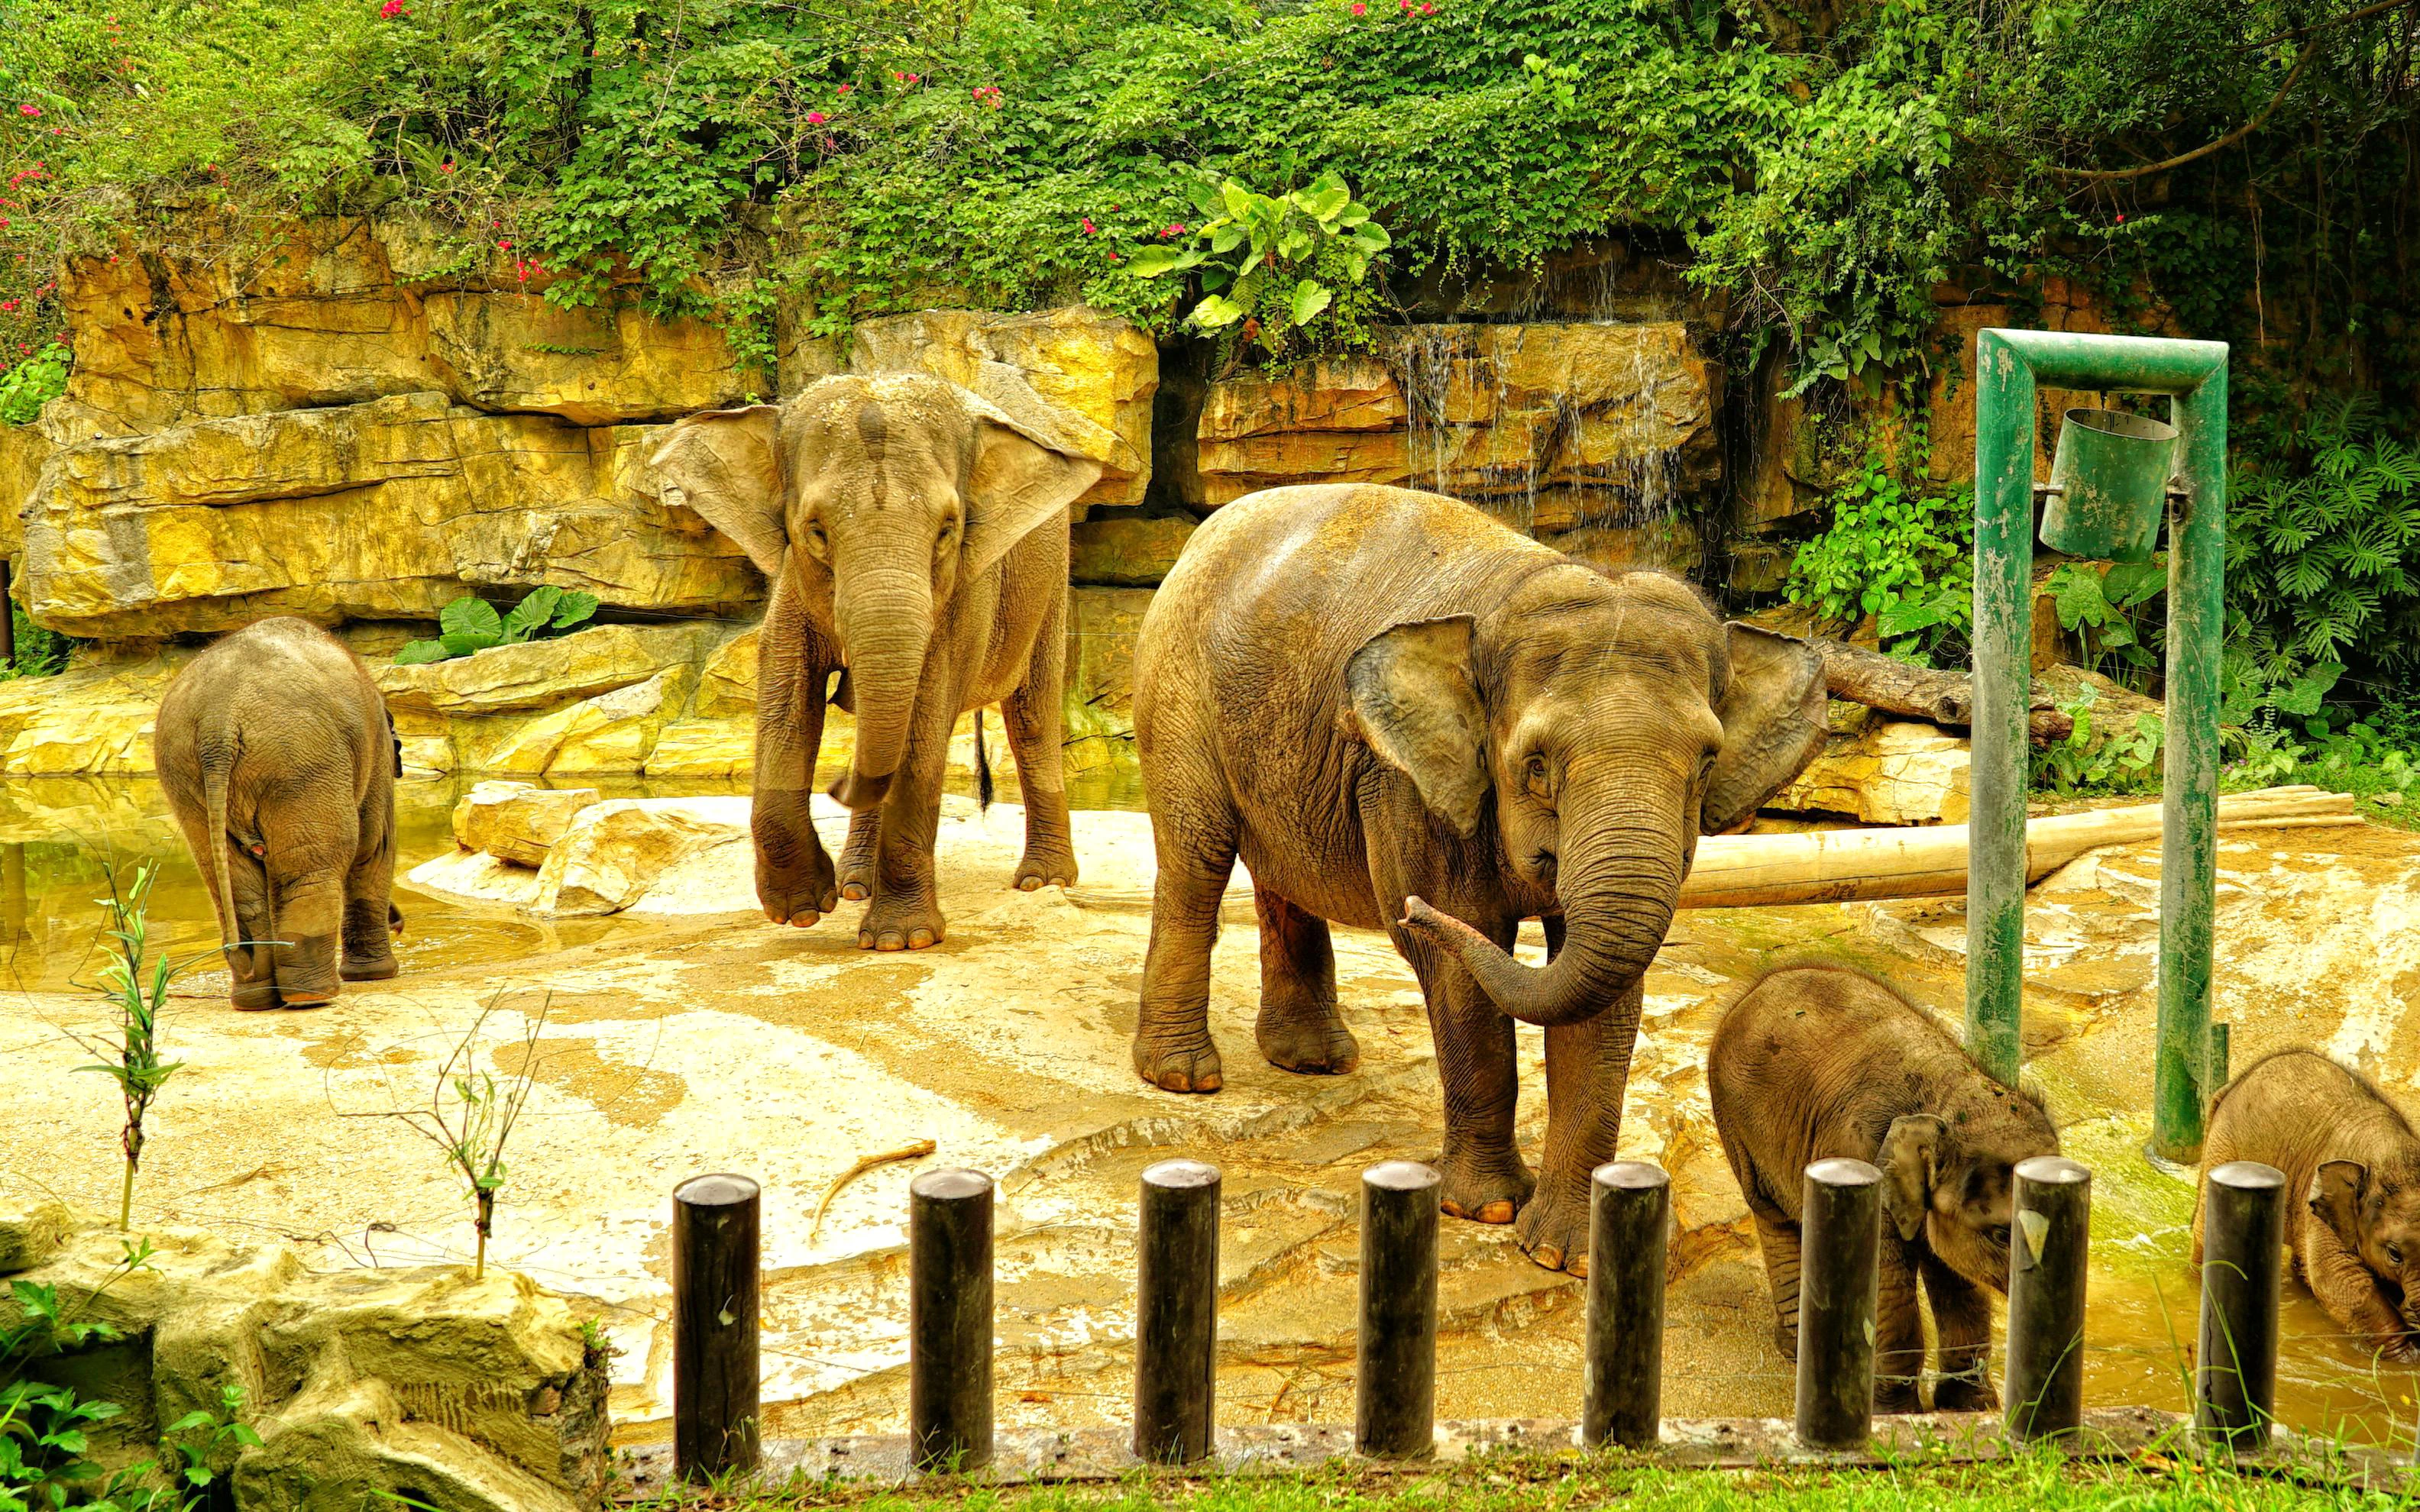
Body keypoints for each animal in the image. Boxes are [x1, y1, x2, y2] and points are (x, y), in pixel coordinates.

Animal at [153, 617, 403, 1010]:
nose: (400, 922)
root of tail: (217, 725)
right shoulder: (375, 752)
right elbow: (375, 845)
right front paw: (376, 976)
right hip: (299, 760)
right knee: (311, 868)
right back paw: (310, 997)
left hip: (185, 777)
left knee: (234, 884)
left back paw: (256, 999)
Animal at [650, 372, 1104, 950]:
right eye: (816, 530)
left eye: (947, 530)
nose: (836, 783)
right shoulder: (793, 579)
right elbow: (787, 694)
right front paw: (802, 911)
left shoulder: (967, 589)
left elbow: (925, 717)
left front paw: (900, 941)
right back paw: (852, 886)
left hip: (1048, 579)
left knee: (1032, 718)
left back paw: (1041, 882)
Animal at [1130, 482, 1831, 1272]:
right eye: (1537, 765)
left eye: (1707, 762)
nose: (1406, 911)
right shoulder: (1409, 783)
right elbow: (1461, 966)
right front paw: (1490, 1209)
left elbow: (1605, 993)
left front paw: (1567, 1254)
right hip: (1176, 686)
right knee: (1197, 857)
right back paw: (1184, 1076)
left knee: (1283, 873)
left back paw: (1313, 1061)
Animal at [1708, 965, 2059, 1412]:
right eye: (2000, 1234)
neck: (1947, 1094)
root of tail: (1749, 992)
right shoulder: (1860, 1155)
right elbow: (1888, 1279)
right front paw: (1897, 1414)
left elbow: (1956, 1277)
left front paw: (1970, 1407)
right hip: (1741, 1130)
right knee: (1774, 1216)